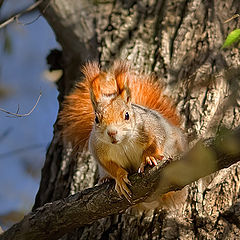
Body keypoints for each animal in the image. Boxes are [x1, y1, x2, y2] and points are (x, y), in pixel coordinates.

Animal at [59, 61, 187, 202]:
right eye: (96, 119)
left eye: (127, 115)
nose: (112, 132)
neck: (122, 143)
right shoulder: (97, 149)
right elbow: (109, 165)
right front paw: (119, 177)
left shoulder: (152, 126)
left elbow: (158, 139)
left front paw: (149, 157)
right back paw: (105, 179)